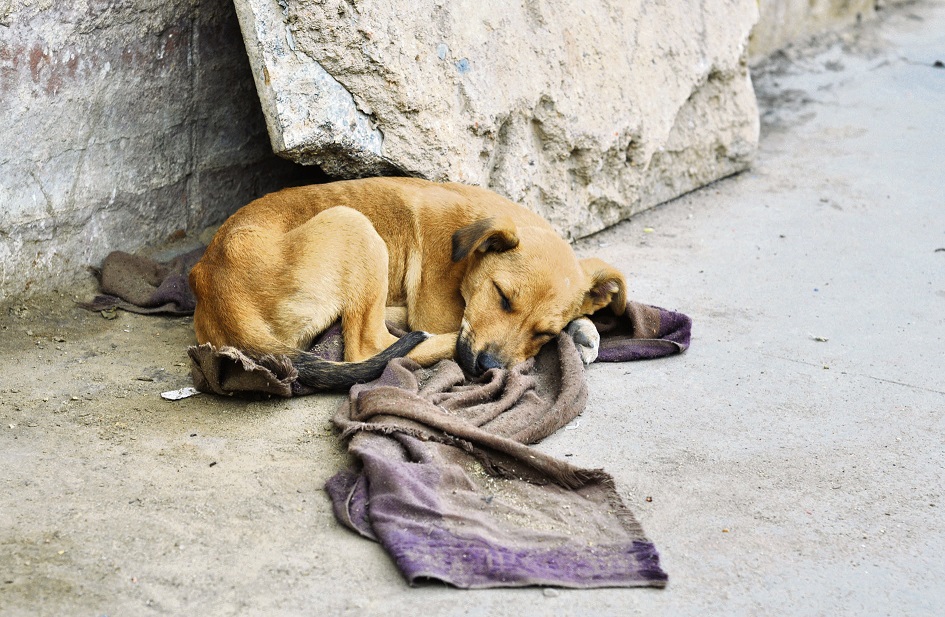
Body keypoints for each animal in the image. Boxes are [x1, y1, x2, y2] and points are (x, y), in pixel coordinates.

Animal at [187, 178, 624, 388]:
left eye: (543, 332)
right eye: (501, 296)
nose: (487, 368)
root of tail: (214, 287)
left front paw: (582, 329)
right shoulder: (440, 310)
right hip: (353, 225)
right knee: (370, 347)